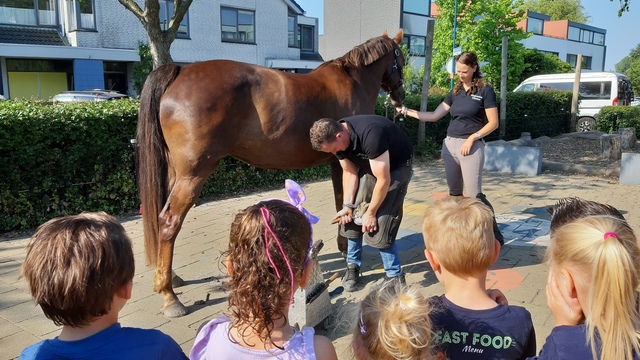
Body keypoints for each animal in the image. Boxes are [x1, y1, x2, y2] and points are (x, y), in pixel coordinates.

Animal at [138, 29, 408, 316]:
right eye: (401, 59)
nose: (400, 96)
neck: (353, 79)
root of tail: (180, 71)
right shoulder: (342, 163)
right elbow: (342, 202)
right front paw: (346, 251)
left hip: (175, 173)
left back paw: (170, 277)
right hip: (193, 174)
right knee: (169, 222)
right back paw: (170, 297)